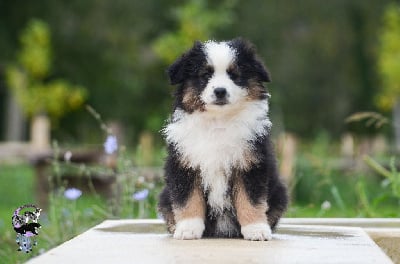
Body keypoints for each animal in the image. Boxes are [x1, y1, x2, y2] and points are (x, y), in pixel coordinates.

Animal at [159, 38, 288, 240]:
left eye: (234, 75)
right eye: (205, 75)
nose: (220, 91)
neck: (218, 122)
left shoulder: (250, 164)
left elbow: (251, 200)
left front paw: (256, 229)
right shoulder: (184, 165)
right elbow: (188, 199)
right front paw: (188, 229)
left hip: (280, 195)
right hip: (164, 197)